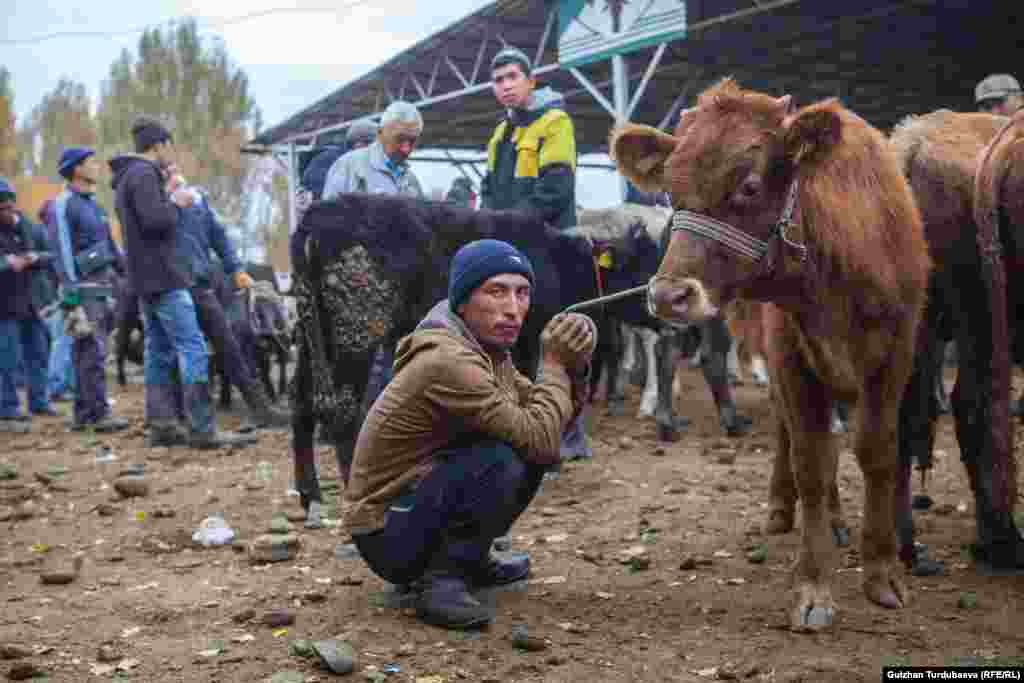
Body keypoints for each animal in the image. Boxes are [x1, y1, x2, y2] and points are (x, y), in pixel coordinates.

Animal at [610, 80, 933, 630]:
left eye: (749, 186)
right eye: (670, 189)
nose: (669, 296)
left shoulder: (894, 358)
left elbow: (876, 451)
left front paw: (882, 570)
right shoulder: (789, 359)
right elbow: (810, 461)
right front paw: (813, 583)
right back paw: (788, 509)